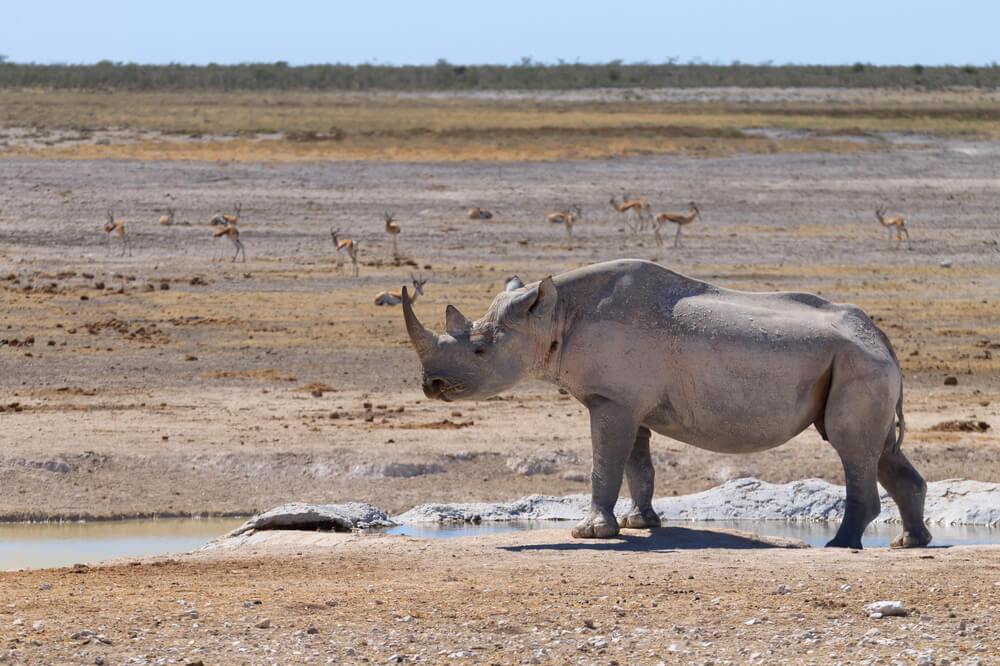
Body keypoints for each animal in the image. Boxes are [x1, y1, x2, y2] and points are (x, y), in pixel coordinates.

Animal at [401, 259, 932, 549]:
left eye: (479, 352)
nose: (432, 385)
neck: (551, 317)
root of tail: (880, 336)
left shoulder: (611, 400)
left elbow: (603, 463)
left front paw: (590, 534)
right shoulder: (628, 402)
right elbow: (637, 465)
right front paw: (641, 524)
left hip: (857, 361)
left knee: (849, 446)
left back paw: (839, 544)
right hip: (858, 360)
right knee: (880, 449)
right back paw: (909, 542)